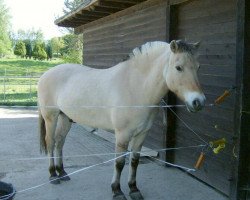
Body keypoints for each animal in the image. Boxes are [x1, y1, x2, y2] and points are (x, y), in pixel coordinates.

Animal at [37, 39, 205, 199]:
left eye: (198, 67)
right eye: (178, 67)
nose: (198, 102)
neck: (135, 87)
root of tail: (45, 74)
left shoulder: (142, 134)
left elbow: (134, 161)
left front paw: (133, 189)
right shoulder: (122, 135)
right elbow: (119, 163)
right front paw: (117, 191)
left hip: (65, 118)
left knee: (60, 142)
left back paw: (62, 172)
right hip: (51, 117)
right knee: (51, 142)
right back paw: (53, 175)